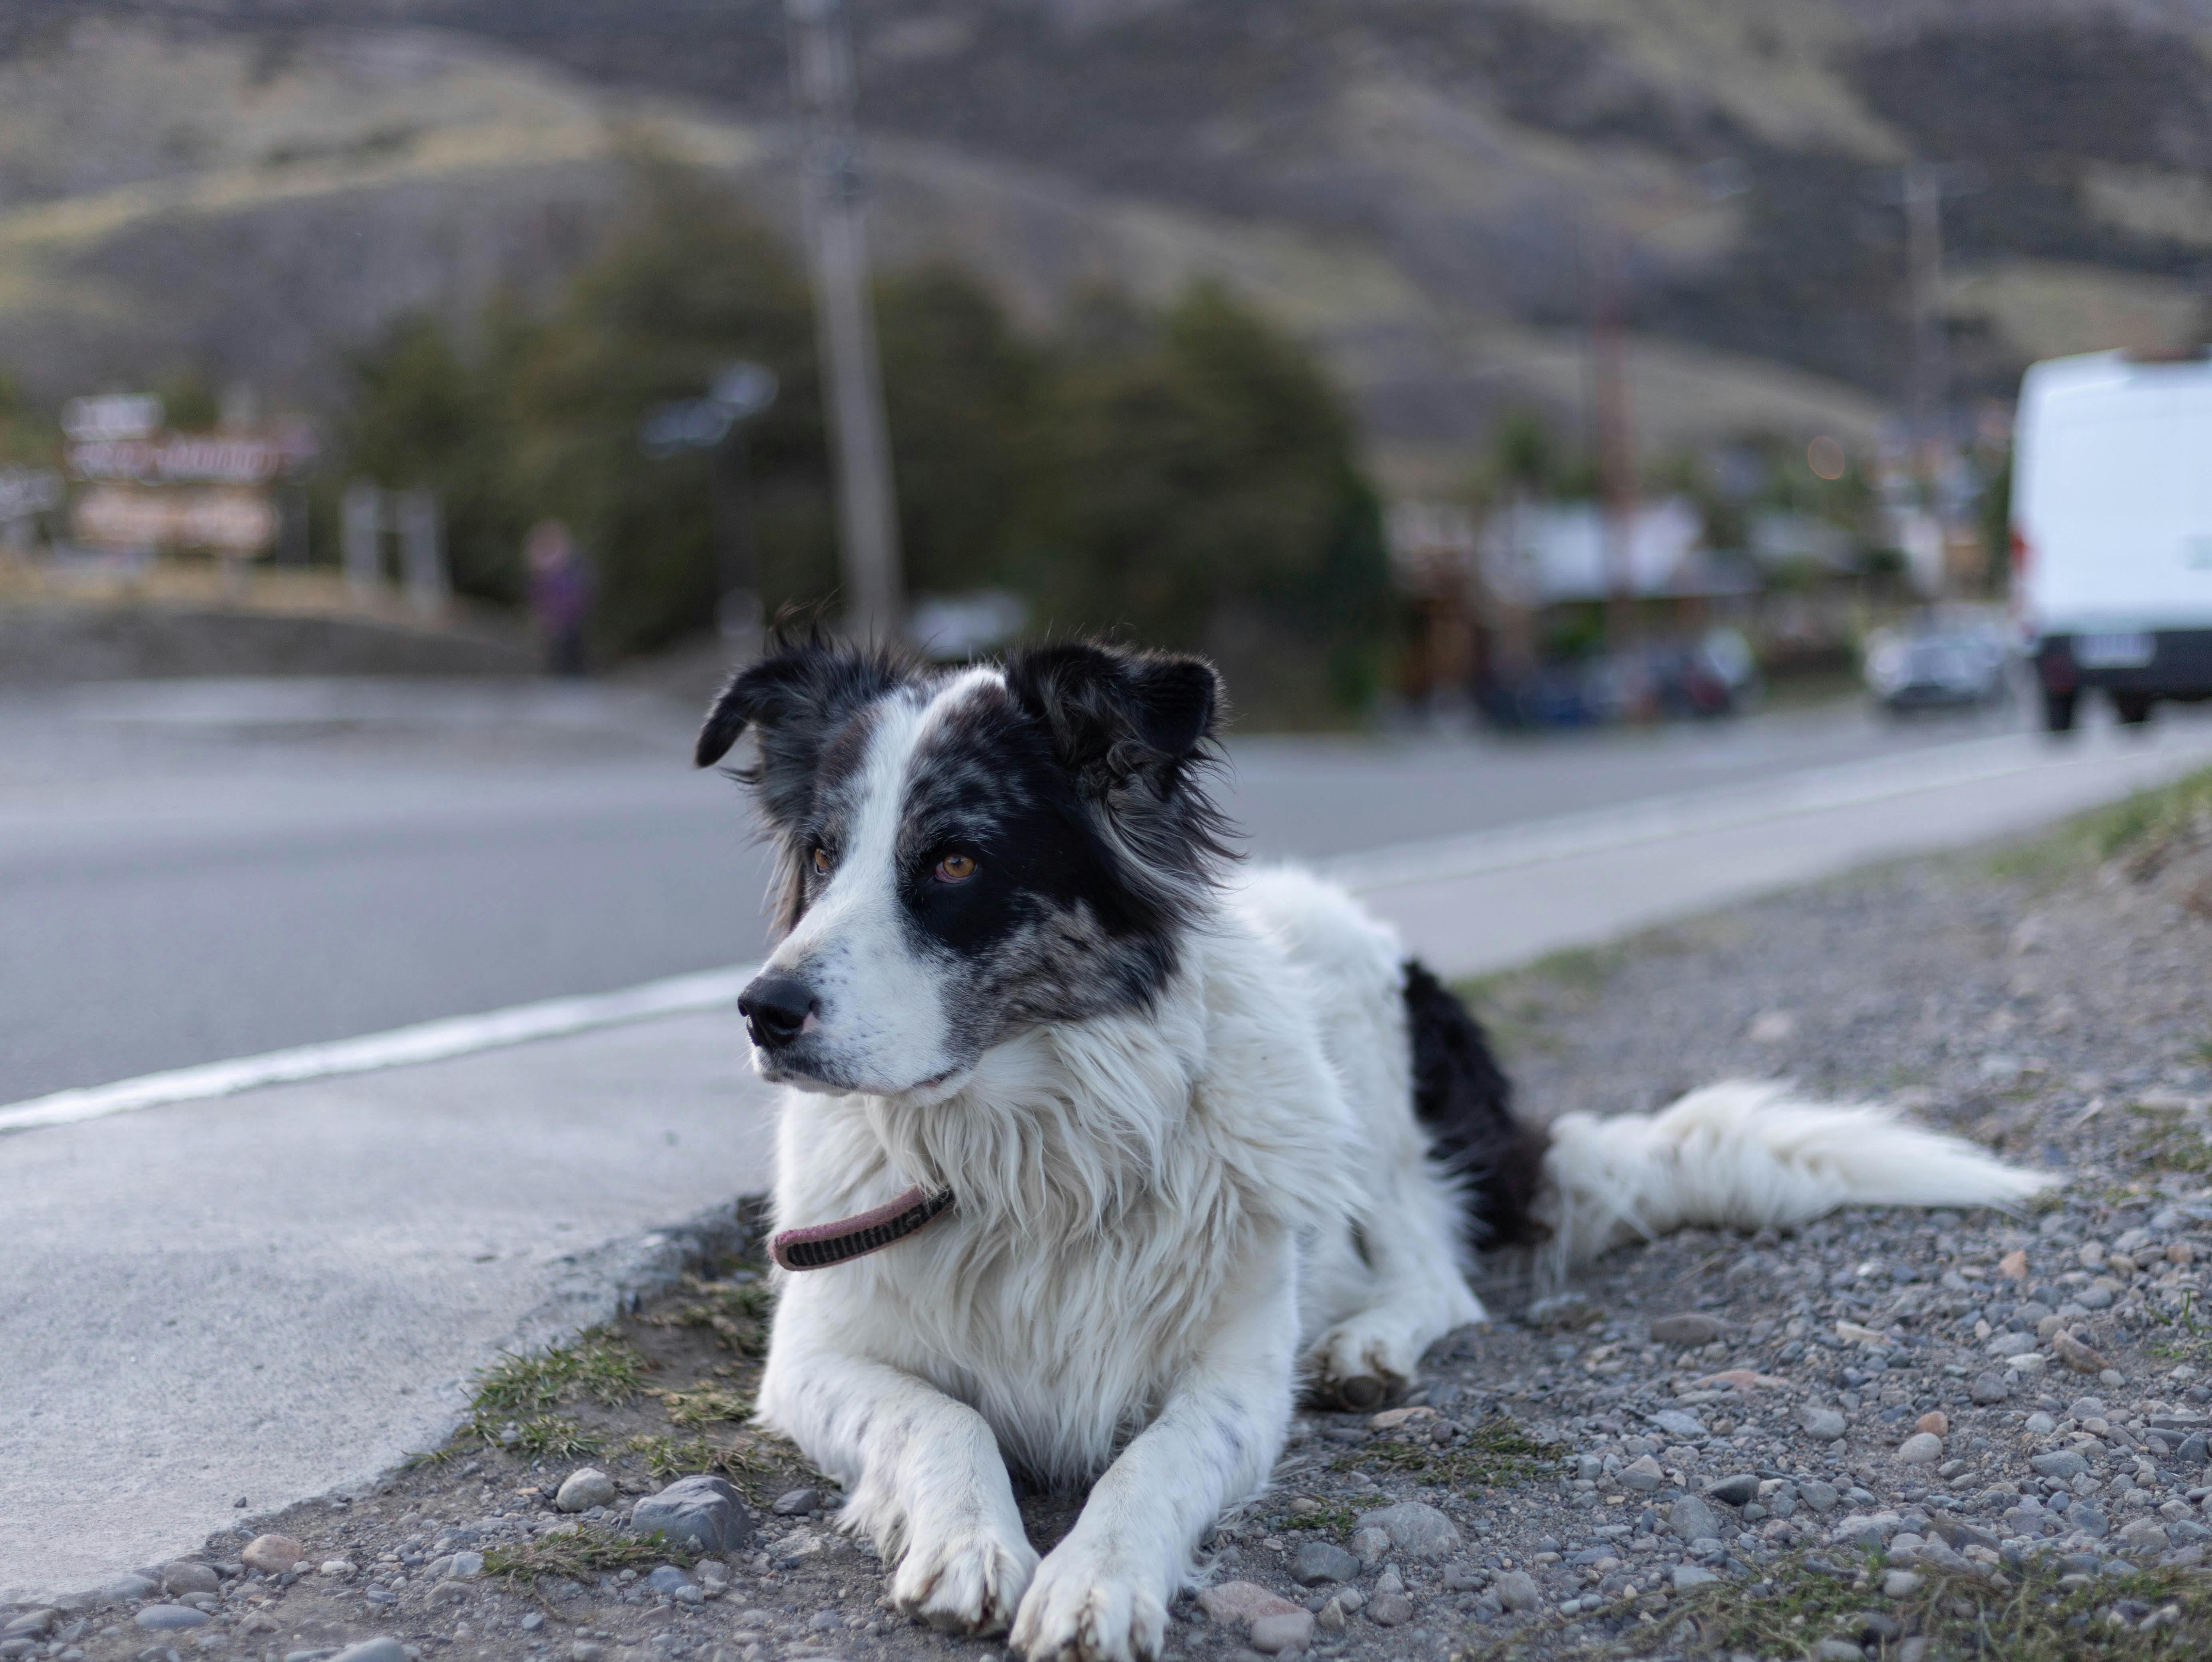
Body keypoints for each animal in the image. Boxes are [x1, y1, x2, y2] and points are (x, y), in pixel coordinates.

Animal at [694, 637, 2053, 1662]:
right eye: (821, 854)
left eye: (955, 859)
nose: (763, 1010)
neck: (1025, 1147)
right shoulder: (815, 1358)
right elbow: (942, 1421)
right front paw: (973, 1542)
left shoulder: (1234, 1374)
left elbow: (1153, 1466)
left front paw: (1095, 1580)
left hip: (1371, 1092)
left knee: (1440, 1274)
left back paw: (1363, 1346)